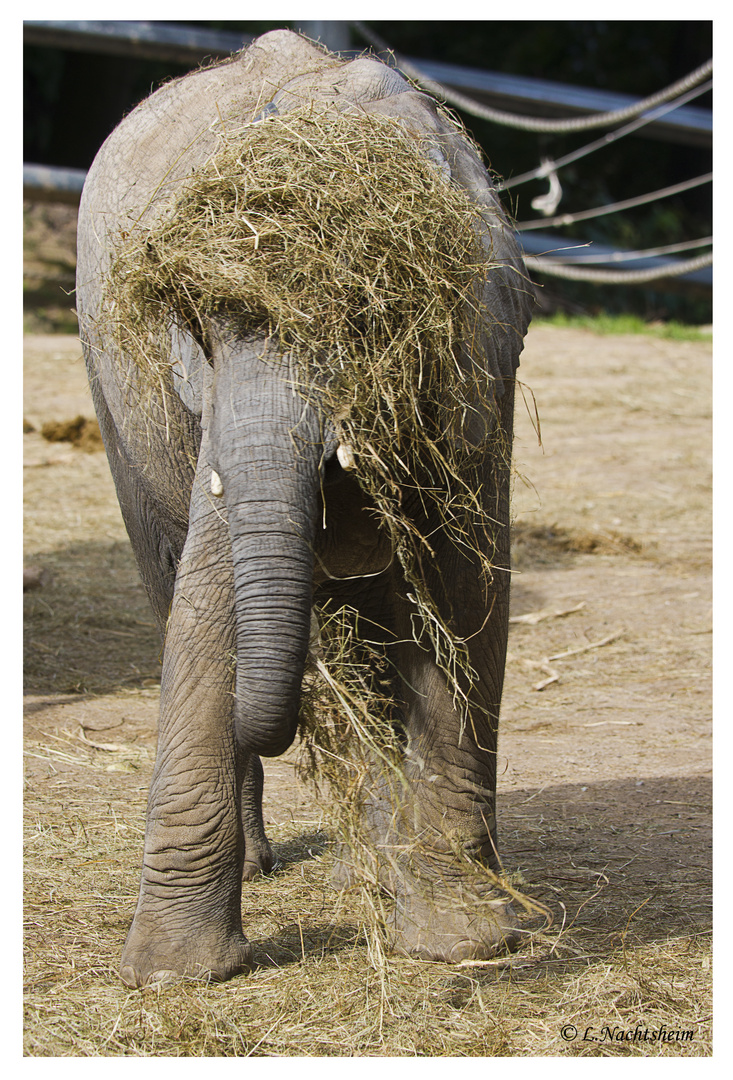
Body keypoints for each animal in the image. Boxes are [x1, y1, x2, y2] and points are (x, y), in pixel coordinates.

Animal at [76, 27, 533, 989]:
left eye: (364, 315)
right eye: (199, 327)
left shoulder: (477, 361)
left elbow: (464, 590)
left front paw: (464, 941)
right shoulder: (211, 407)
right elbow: (208, 594)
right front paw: (173, 979)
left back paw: (378, 857)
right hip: (112, 405)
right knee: (167, 576)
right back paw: (271, 861)